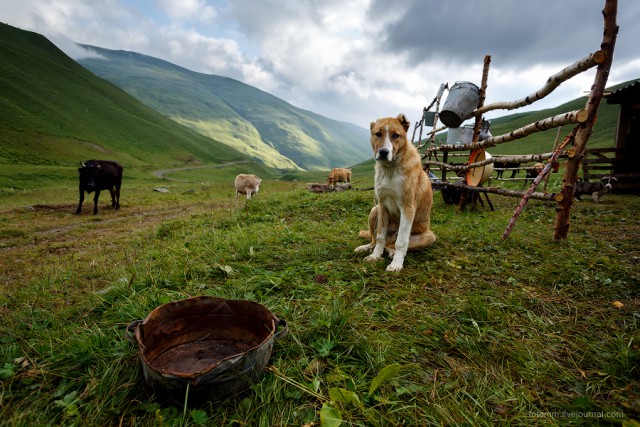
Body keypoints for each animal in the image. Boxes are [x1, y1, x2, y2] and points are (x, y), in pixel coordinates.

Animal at [352, 113, 438, 272]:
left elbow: (401, 241)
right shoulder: (382, 206)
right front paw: (375, 256)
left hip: (429, 236)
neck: (390, 169)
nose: (383, 152)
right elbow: (380, 236)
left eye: (396, 135)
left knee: (393, 244)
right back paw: (367, 248)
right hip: (374, 210)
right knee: (376, 240)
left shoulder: (407, 208)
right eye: (378, 134)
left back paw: (391, 253)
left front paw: (396, 264)